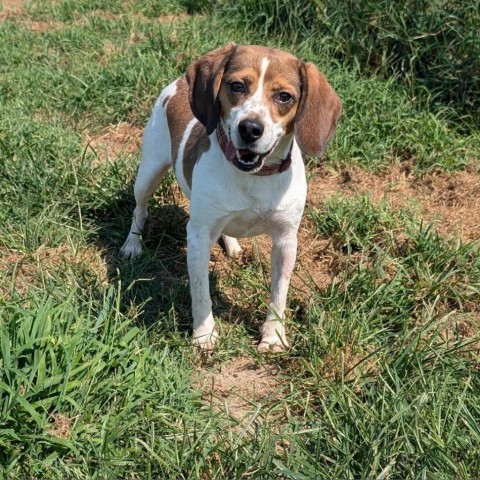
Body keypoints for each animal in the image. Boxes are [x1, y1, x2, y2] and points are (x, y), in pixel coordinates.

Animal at [122, 43, 344, 350]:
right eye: (237, 86)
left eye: (284, 96)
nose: (250, 128)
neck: (255, 177)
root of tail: (179, 82)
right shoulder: (199, 235)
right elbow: (200, 292)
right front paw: (204, 334)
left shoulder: (286, 240)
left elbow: (279, 294)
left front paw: (273, 336)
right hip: (149, 173)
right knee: (139, 210)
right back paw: (132, 244)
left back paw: (232, 244)